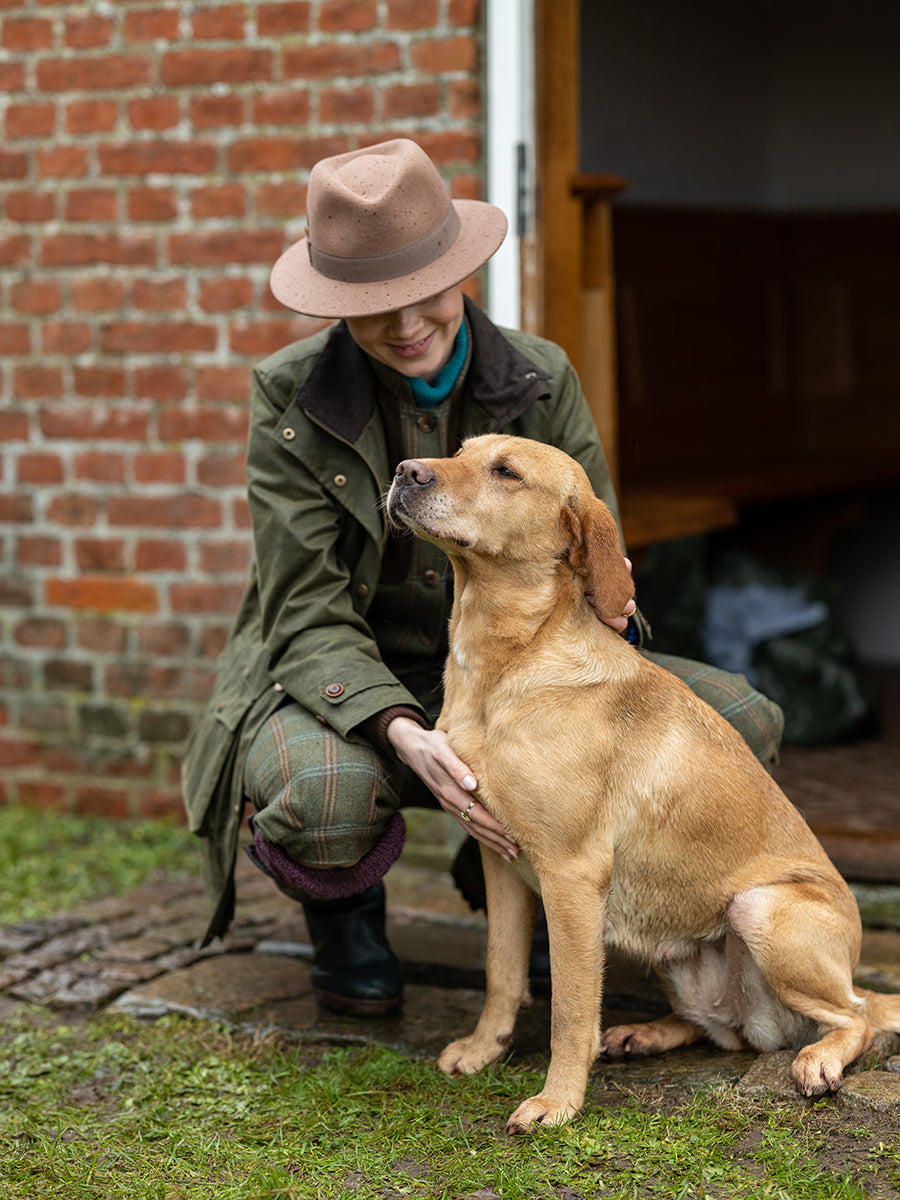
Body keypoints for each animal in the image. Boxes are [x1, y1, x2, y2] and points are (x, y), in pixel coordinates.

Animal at [388, 434, 900, 1132]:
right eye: (461, 450)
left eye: (506, 472)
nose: (404, 471)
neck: (504, 664)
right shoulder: (499, 859)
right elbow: (502, 971)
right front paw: (483, 1048)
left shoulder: (572, 876)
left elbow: (570, 1009)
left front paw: (557, 1102)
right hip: (677, 954)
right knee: (727, 1031)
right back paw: (648, 1033)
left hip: (761, 910)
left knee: (858, 1016)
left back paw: (819, 1059)